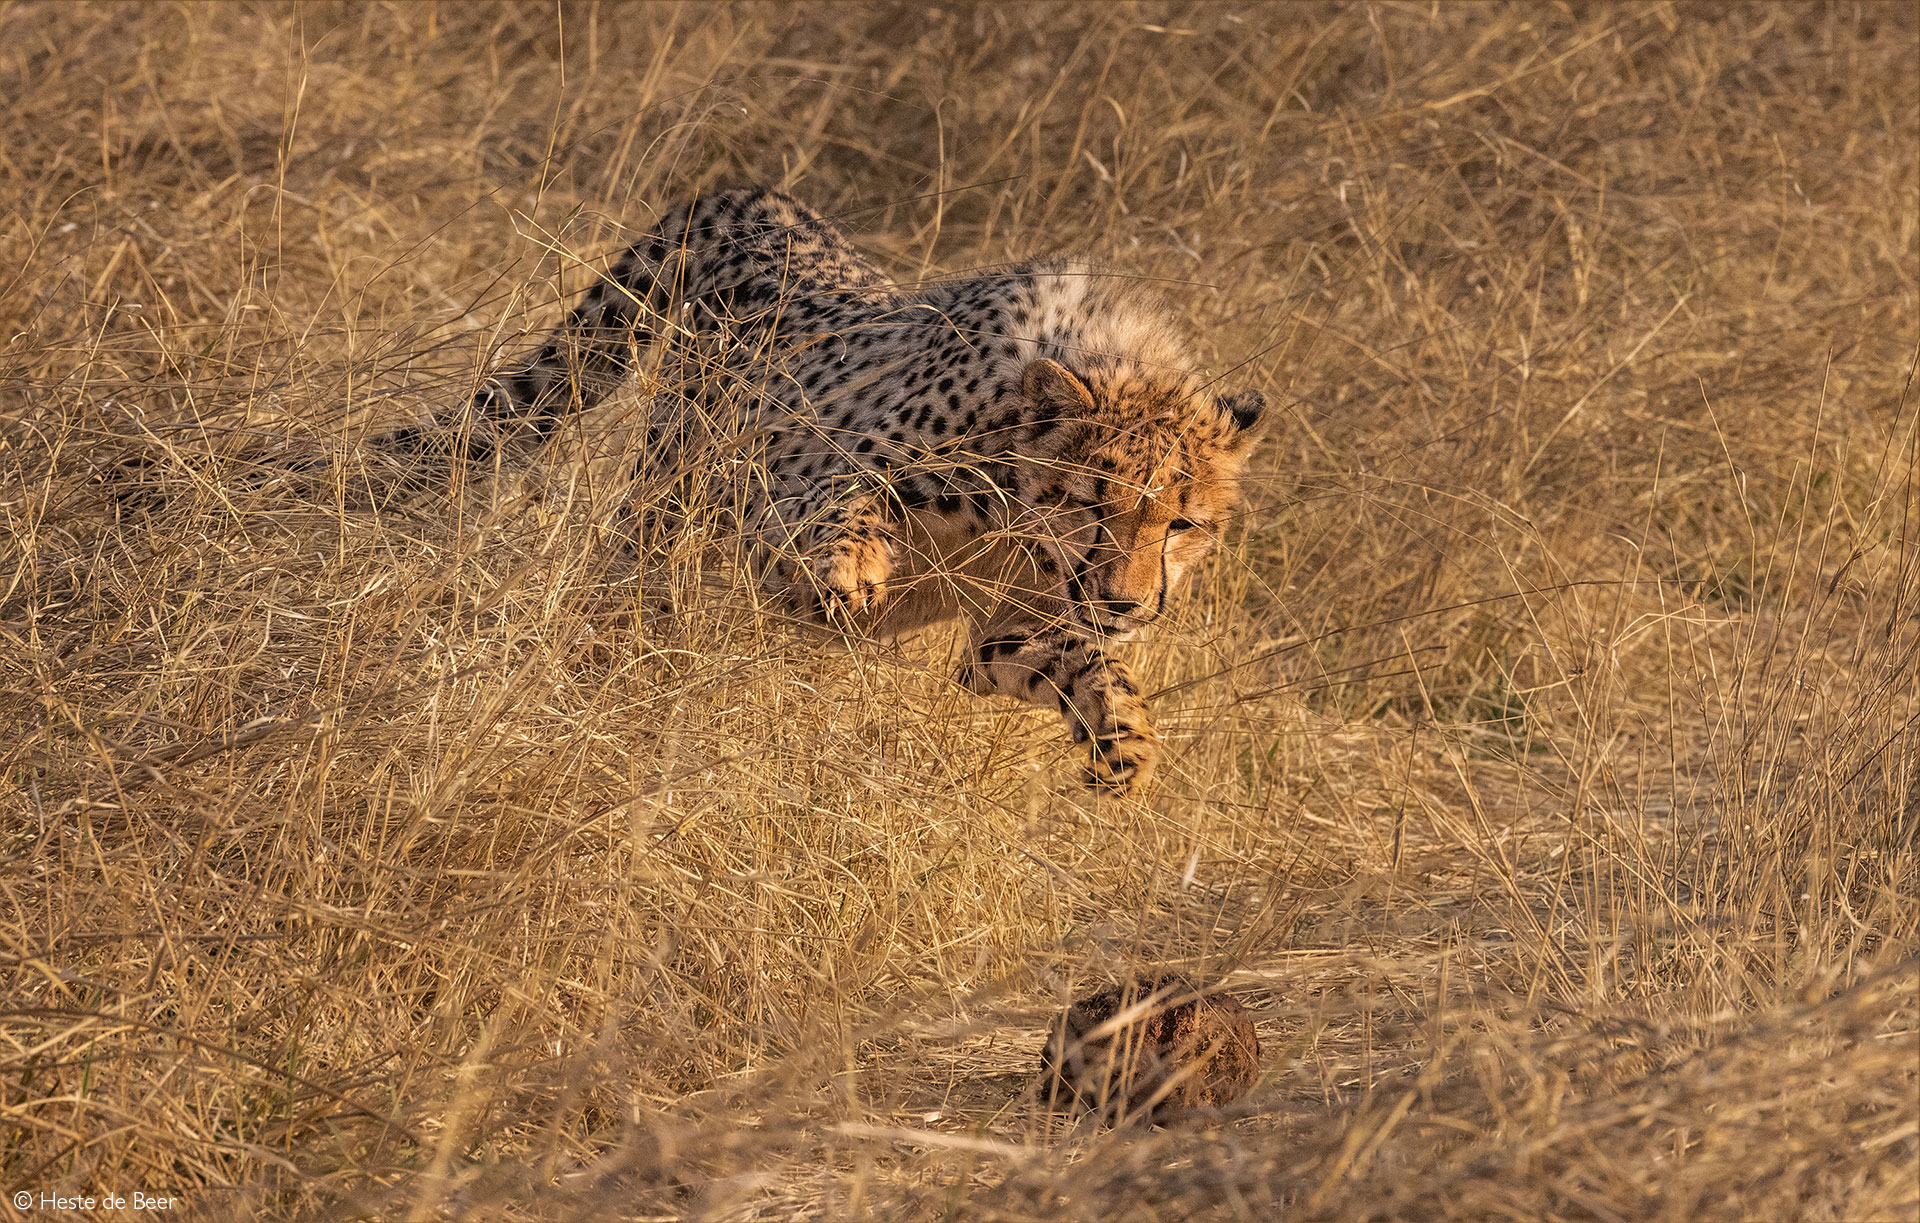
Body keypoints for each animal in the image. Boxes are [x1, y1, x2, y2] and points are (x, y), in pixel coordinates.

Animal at [380, 182, 1267, 791]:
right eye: (1092, 504)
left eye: (1183, 525)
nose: (1128, 603)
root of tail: (761, 198)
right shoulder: (790, 491)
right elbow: (846, 507)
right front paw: (850, 575)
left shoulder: (1005, 633)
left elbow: (1091, 665)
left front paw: (1126, 741)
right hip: (671, 500)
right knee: (627, 591)